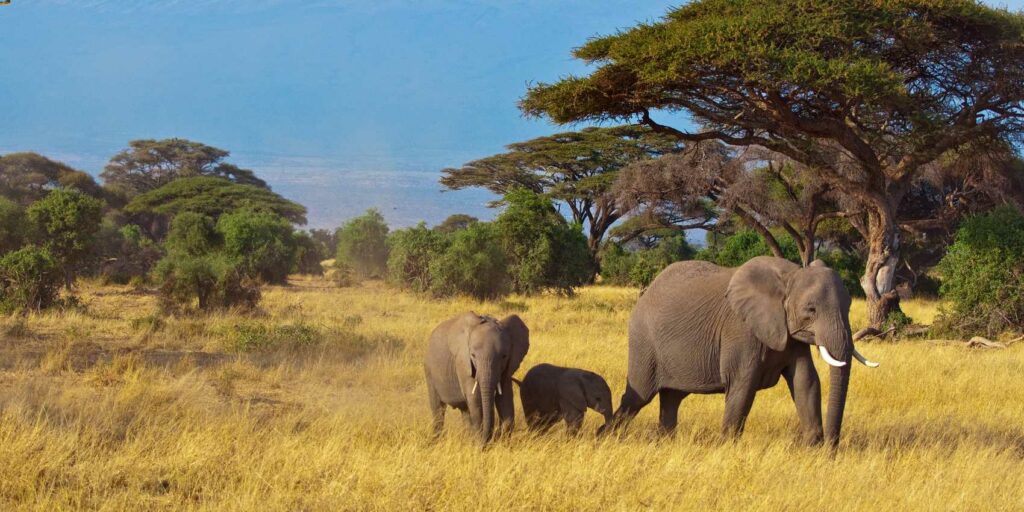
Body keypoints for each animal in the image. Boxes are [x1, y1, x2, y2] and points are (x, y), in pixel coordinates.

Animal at [421, 309, 528, 446]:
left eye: (504, 356)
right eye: (473, 355)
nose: (494, 437)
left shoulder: (507, 367)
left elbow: (505, 398)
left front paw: (502, 443)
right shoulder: (463, 363)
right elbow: (476, 400)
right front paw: (479, 444)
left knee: (465, 411)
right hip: (429, 369)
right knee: (438, 408)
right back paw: (436, 441)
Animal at [606, 258, 880, 446]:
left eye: (848, 306)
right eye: (811, 310)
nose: (832, 448)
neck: (789, 276)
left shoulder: (790, 335)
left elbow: (806, 382)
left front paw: (813, 449)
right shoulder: (740, 330)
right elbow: (743, 385)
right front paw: (727, 447)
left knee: (671, 399)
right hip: (644, 342)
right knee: (638, 397)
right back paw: (605, 437)